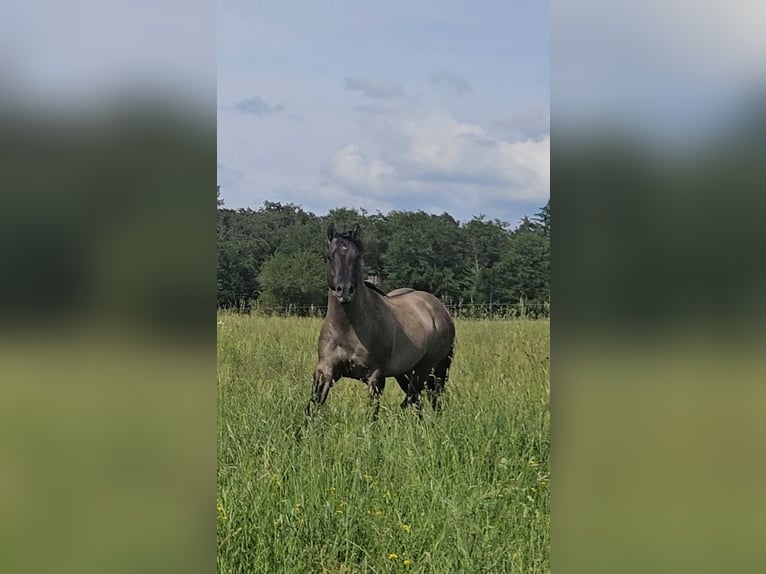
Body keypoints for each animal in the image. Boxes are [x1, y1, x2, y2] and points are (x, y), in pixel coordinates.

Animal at [304, 223, 455, 418]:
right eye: (330, 256)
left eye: (358, 256)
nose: (344, 291)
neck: (347, 328)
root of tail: (440, 309)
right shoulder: (325, 372)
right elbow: (311, 408)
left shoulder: (375, 377)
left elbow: (372, 414)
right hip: (405, 372)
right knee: (418, 399)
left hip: (426, 368)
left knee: (417, 396)